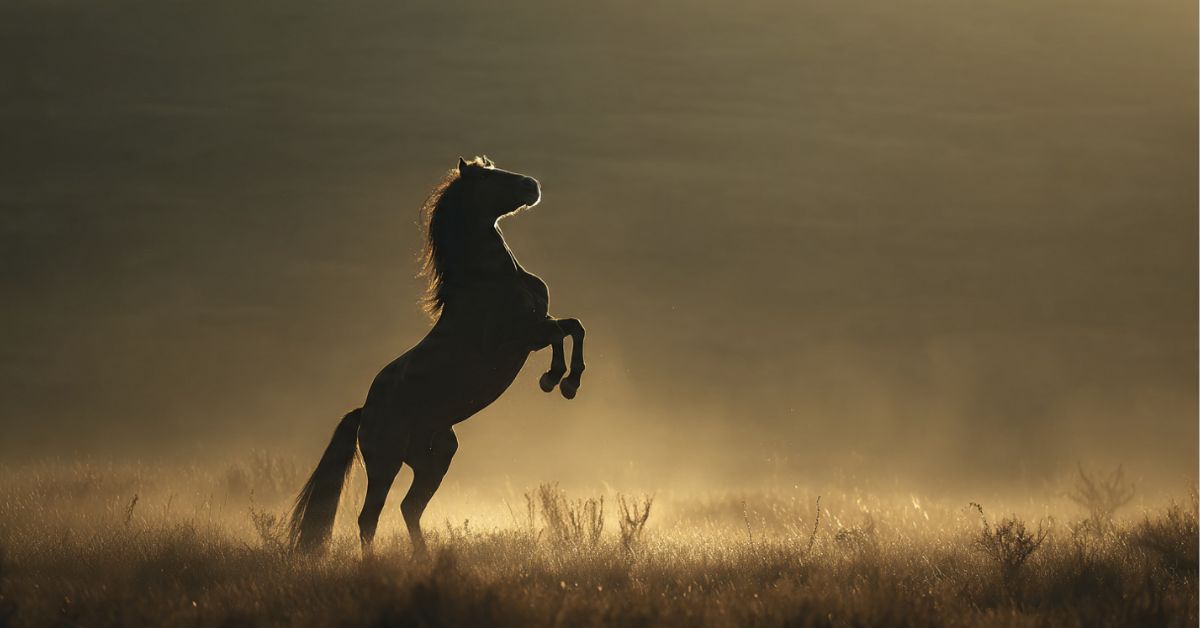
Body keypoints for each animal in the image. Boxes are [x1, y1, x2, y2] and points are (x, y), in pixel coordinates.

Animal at [288, 156, 586, 555]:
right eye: (489, 177)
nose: (531, 185)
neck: (489, 281)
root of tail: (365, 411)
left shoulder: (535, 330)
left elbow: (573, 327)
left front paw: (567, 380)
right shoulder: (517, 339)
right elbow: (560, 332)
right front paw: (556, 379)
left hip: (436, 456)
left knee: (409, 508)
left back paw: (423, 558)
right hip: (385, 463)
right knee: (370, 517)